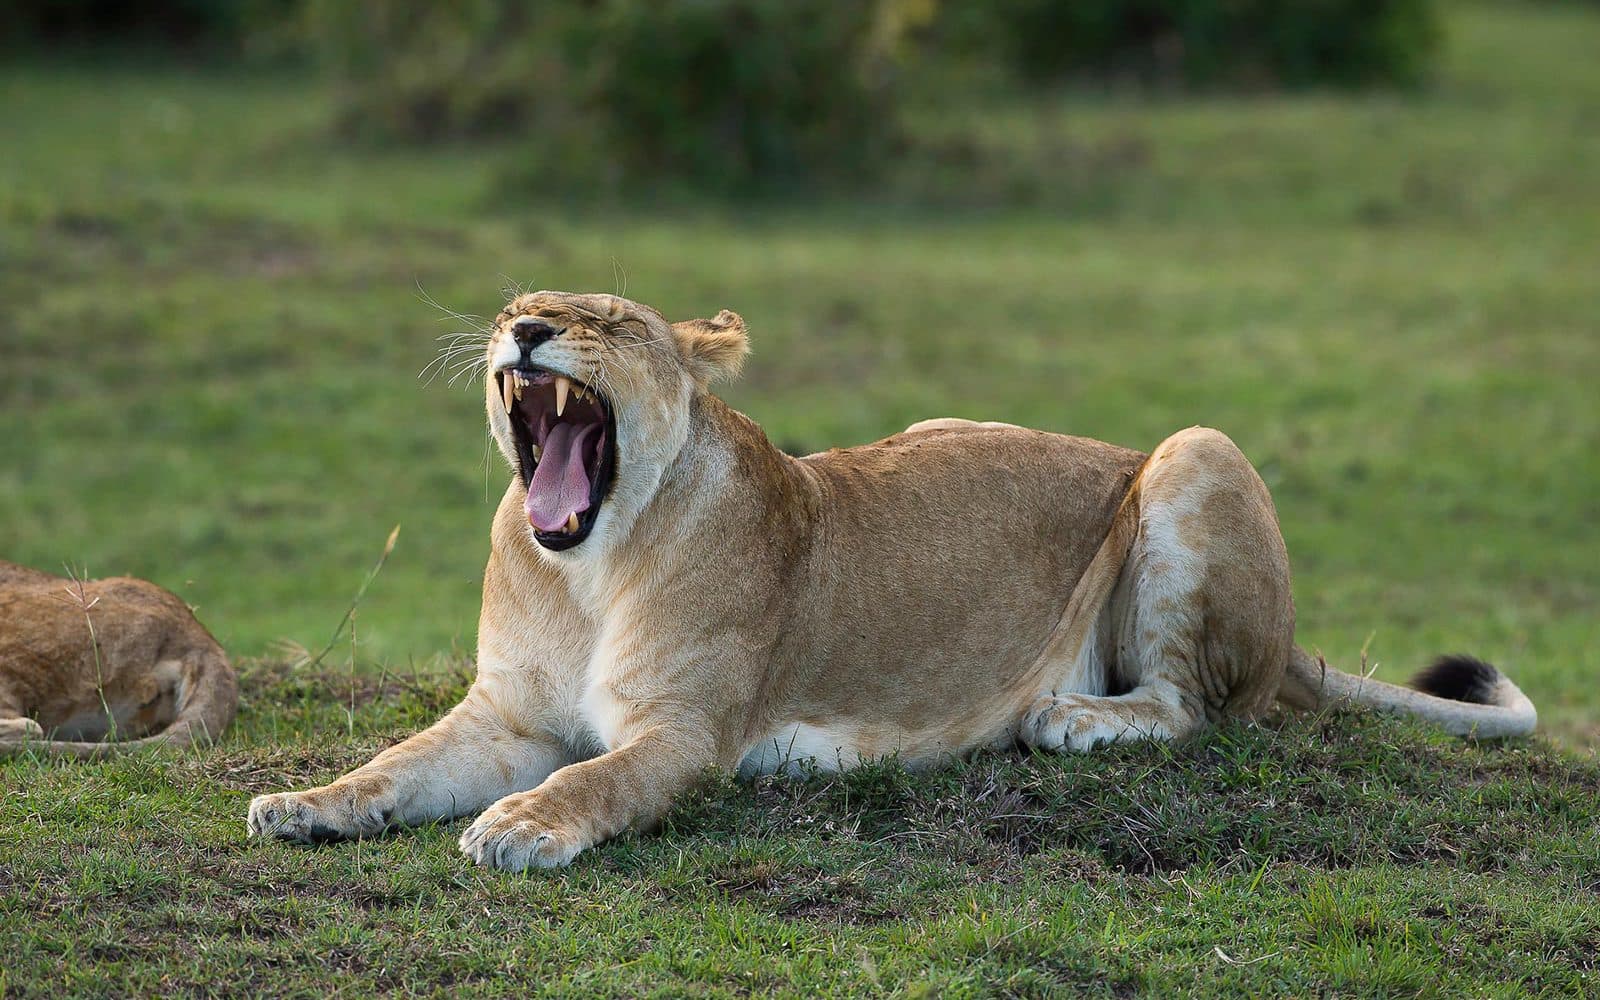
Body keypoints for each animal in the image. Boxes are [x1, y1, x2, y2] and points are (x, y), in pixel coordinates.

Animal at [247, 290, 1536, 870]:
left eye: (607, 321)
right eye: (521, 304)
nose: (521, 332)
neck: (588, 564)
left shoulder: (686, 733)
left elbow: (596, 777)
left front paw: (523, 823)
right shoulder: (506, 714)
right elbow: (398, 765)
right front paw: (302, 801)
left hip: (1193, 450)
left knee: (1200, 707)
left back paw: (1070, 717)